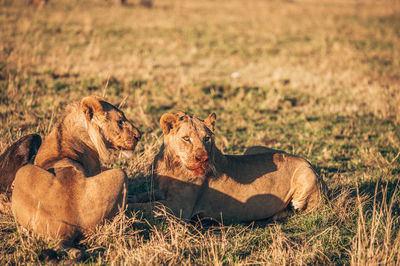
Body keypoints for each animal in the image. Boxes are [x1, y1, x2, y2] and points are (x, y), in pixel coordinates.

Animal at [130, 111, 326, 222]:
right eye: (186, 139)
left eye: (206, 139)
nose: (203, 158)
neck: (172, 164)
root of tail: (310, 163)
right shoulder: (161, 192)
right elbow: (140, 197)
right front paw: (130, 196)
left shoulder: (179, 207)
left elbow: (144, 207)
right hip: (252, 147)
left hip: (306, 176)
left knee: (305, 210)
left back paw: (278, 215)